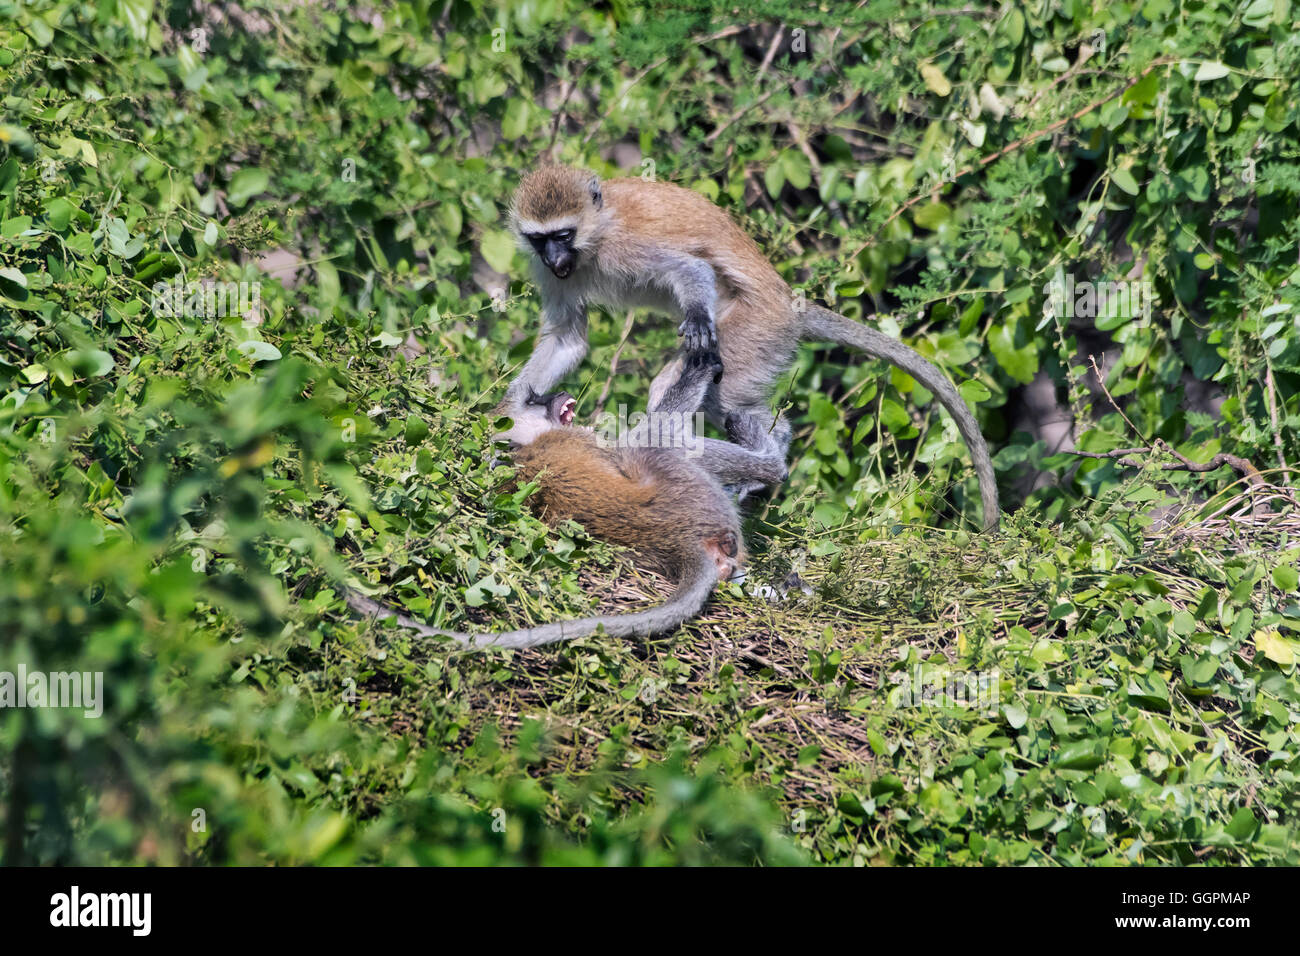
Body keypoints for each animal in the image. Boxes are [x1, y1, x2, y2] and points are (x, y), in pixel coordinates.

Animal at [346, 350, 764, 650]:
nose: (559, 393)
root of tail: (682, 543)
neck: (527, 445)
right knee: (650, 444)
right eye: (534, 399)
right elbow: (645, 440)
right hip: (690, 489)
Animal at [501, 165, 1000, 530]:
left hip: (756, 327)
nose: (556, 257)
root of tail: (790, 304)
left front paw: (696, 314)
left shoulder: (624, 244)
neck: (594, 237)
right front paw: (508, 408)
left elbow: (691, 270)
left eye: (564, 235)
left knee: (712, 390)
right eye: (541, 240)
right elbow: (567, 338)